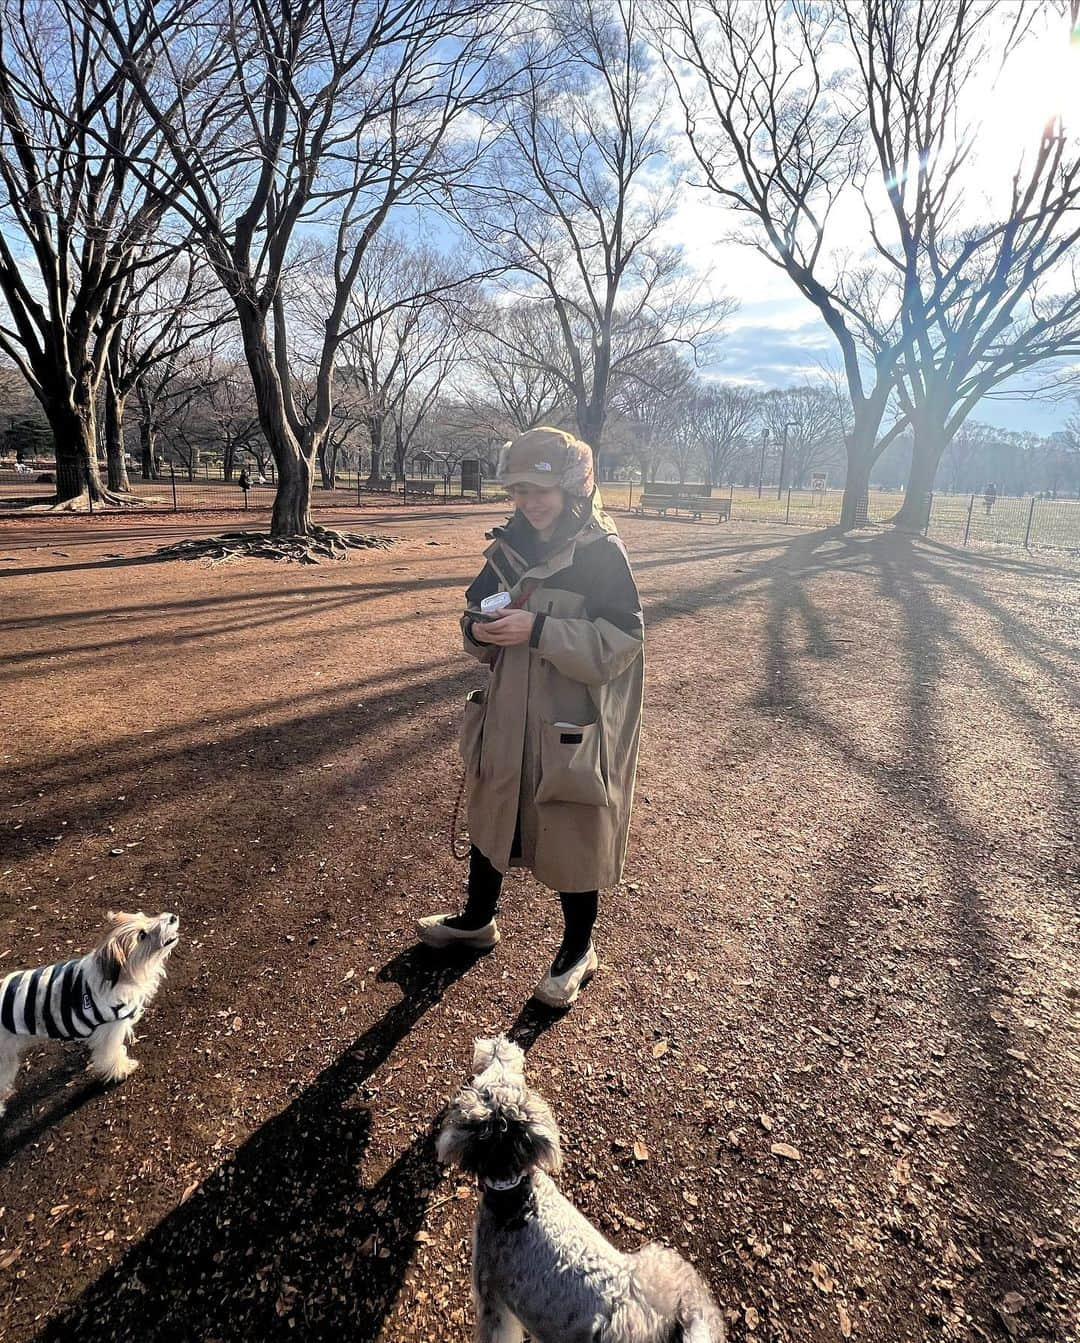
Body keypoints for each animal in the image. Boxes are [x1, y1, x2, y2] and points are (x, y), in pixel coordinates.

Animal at [0, 907, 178, 1117]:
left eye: (145, 916)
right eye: (142, 935)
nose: (172, 917)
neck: (120, 975)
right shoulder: (110, 1031)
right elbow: (111, 1054)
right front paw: (122, 1069)